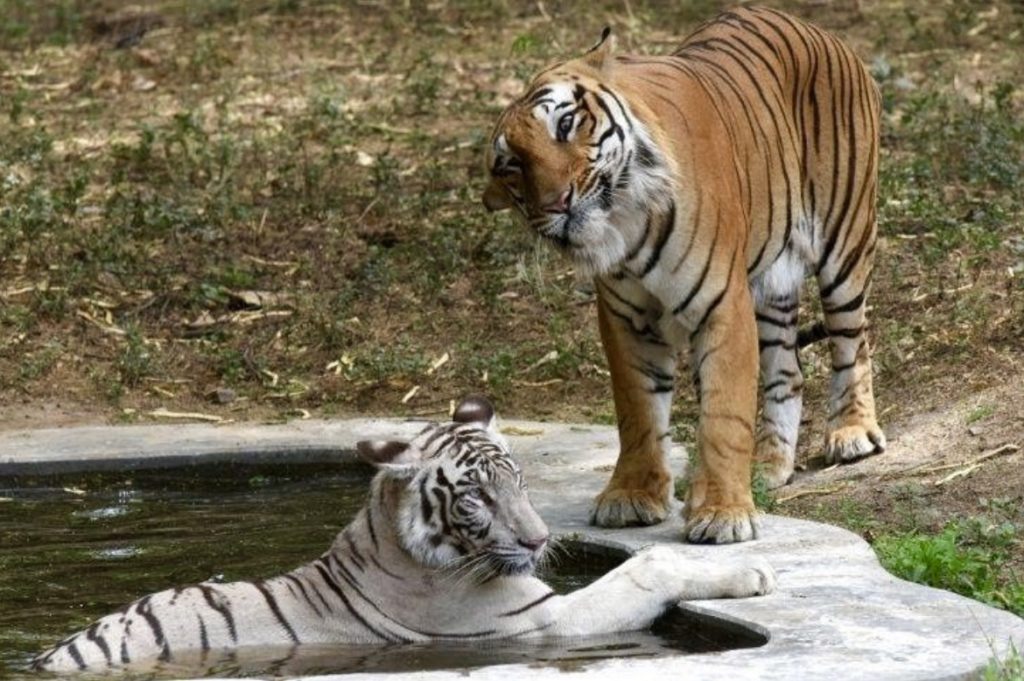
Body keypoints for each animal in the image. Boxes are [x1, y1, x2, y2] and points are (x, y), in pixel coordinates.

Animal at [36, 395, 778, 671]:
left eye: (518, 480)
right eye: (476, 497)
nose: (538, 542)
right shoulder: (545, 623)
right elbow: (646, 566)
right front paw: (754, 572)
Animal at [483, 6, 884, 540]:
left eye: (565, 124)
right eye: (511, 165)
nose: (556, 203)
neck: (624, 226)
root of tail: (818, 30)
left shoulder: (722, 305)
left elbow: (723, 414)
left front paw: (722, 513)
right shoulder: (624, 320)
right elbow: (638, 412)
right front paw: (632, 496)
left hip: (844, 243)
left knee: (852, 341)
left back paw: (851, 433)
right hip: (772, 283)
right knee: (788, 373)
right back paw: (768, 465)